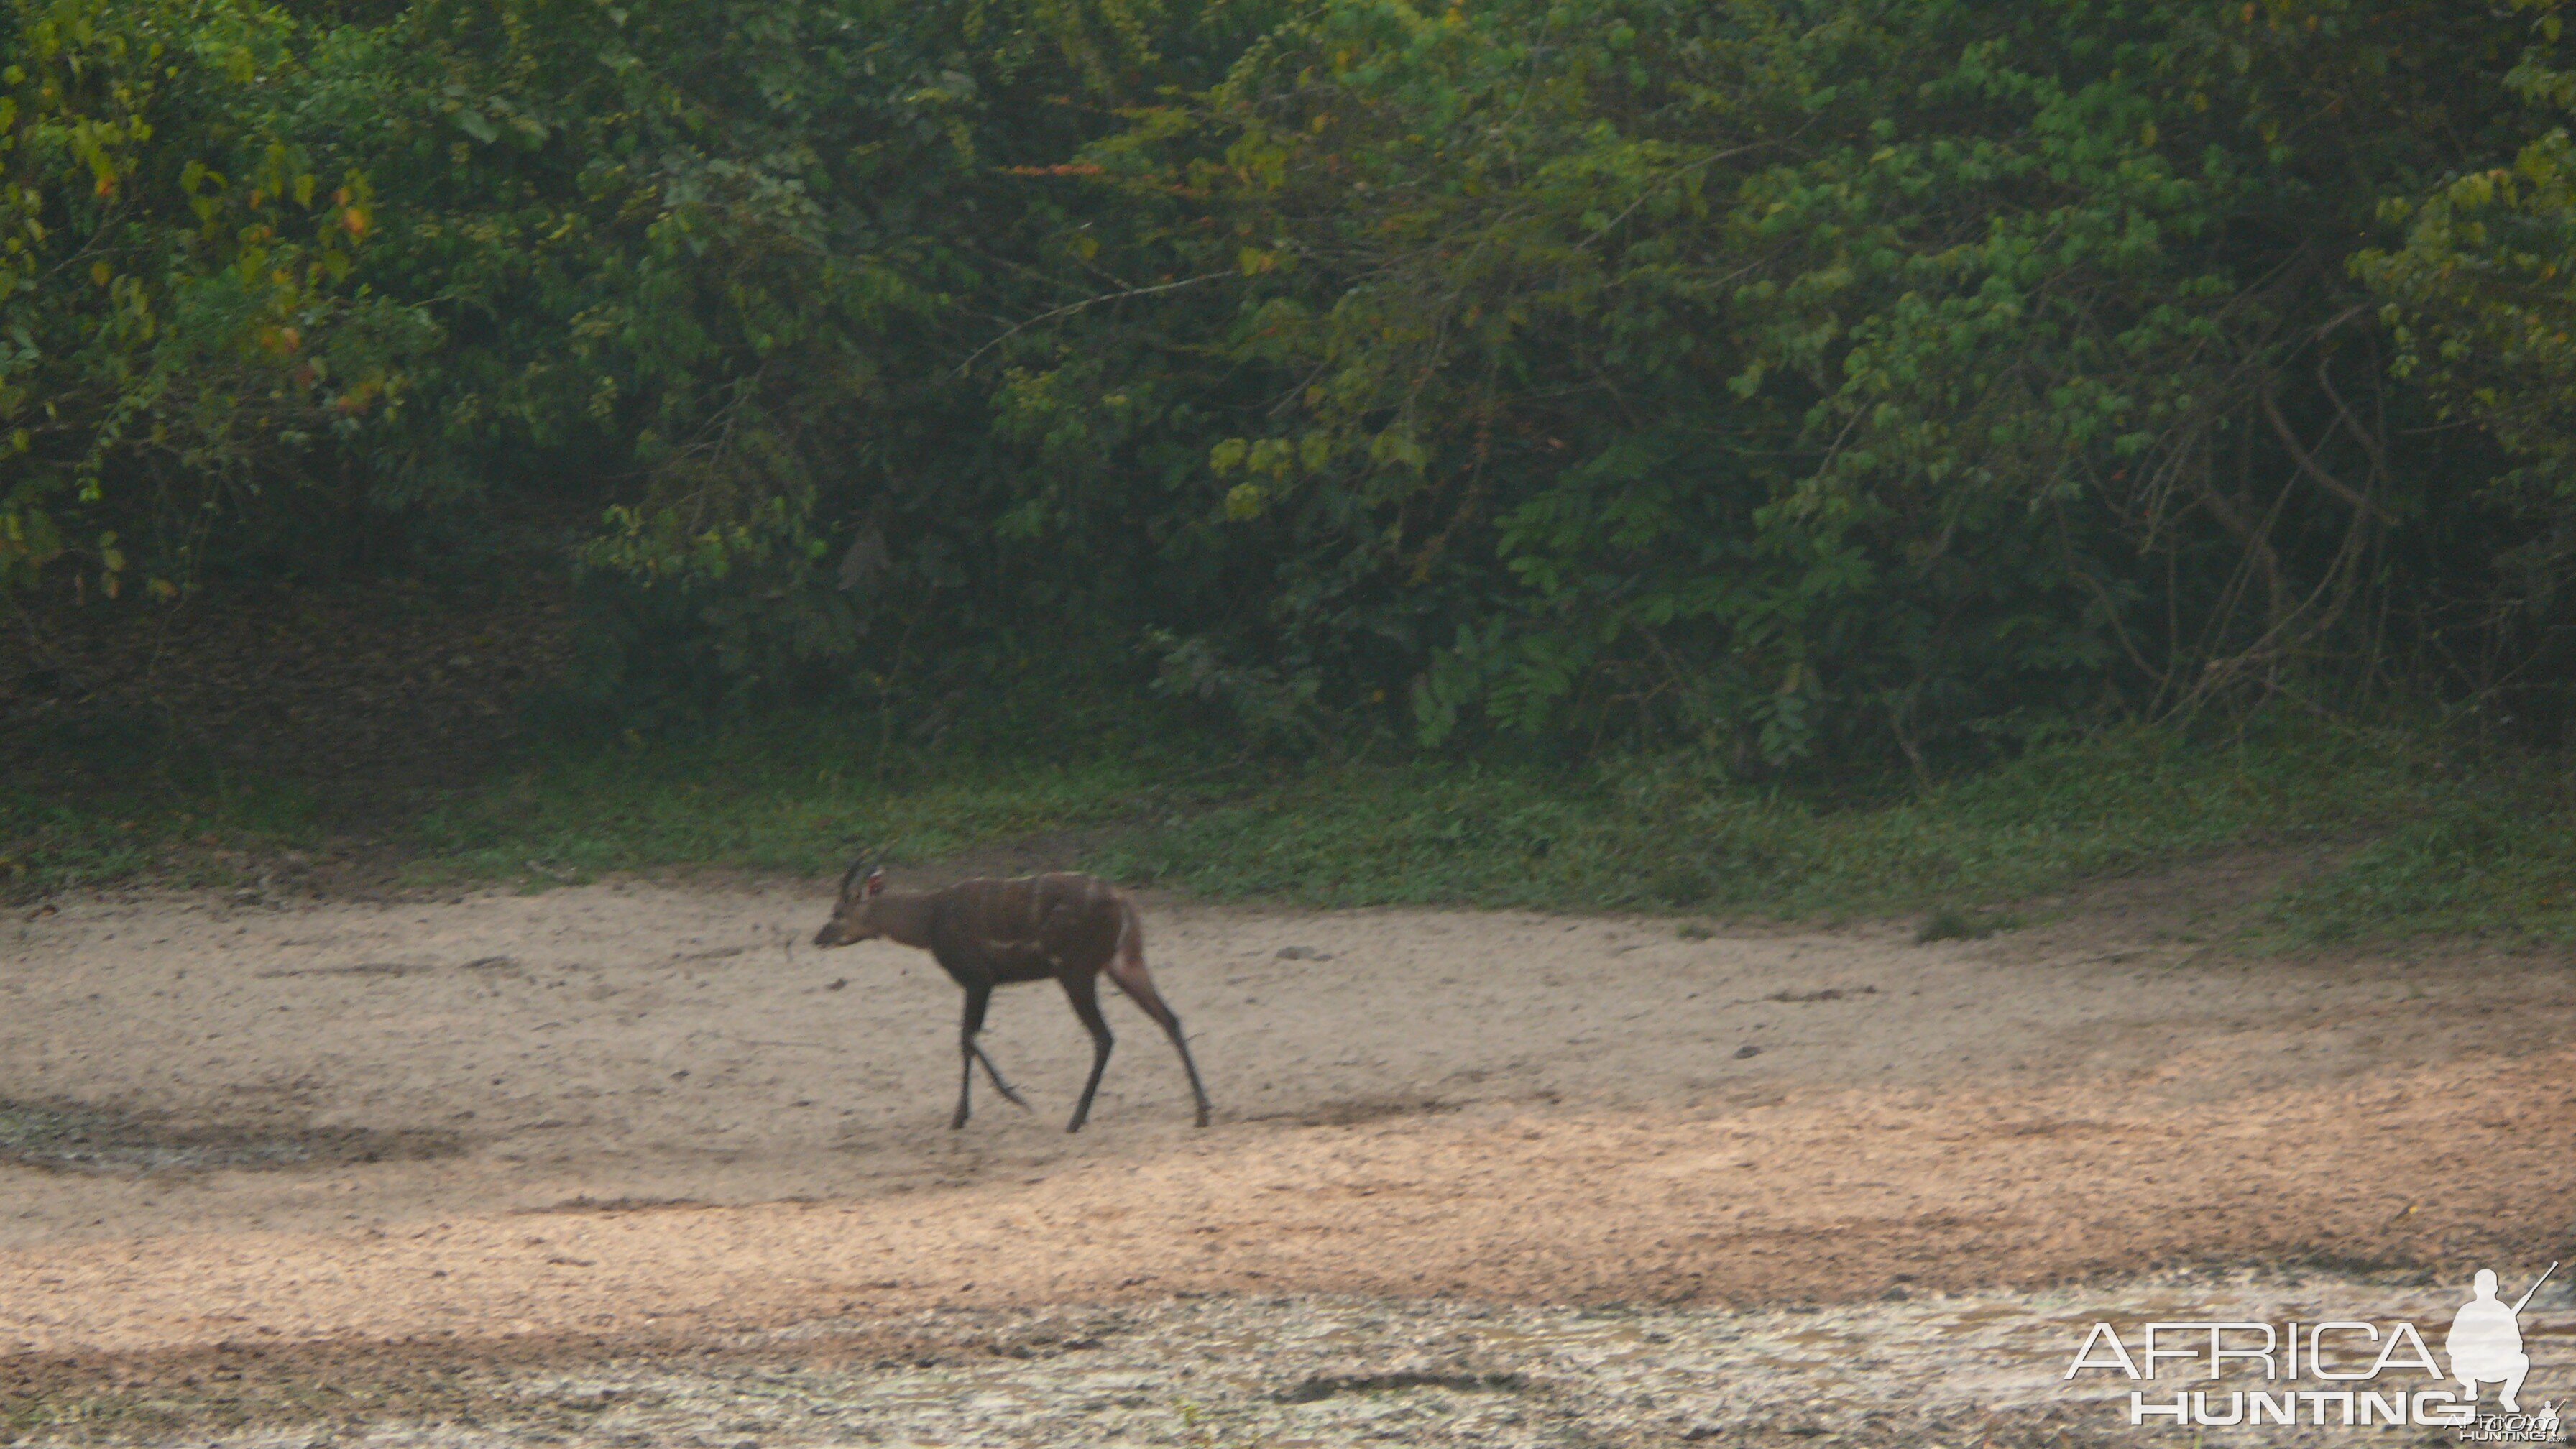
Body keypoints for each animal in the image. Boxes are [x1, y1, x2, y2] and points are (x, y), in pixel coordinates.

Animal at [814, 855, 1215, 1129]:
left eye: (837, 911)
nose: (818, 938)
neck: (930, 924)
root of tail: (1126, 906)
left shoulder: (977, 977)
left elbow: (966, 1037)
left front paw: (1003, 1102)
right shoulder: (981, 981)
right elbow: (967, 1038)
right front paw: (967, 1113)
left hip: (1076, 968)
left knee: (1105, 1036)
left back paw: (1076, 1117)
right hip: (1124, 961)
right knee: (1169, 1018)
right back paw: (1202, 1110)